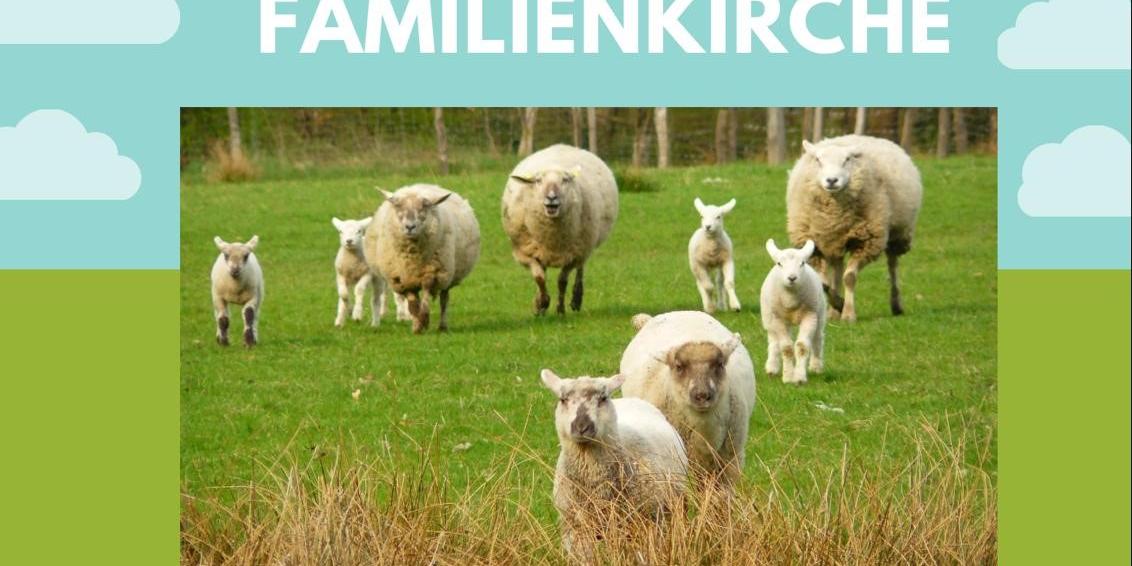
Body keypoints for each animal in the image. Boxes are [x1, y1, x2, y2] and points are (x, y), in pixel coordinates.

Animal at [363, 184, 480, 334]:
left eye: (423, 208)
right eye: (399, 208)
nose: (410, 227)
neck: (412, 258)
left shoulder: (433, 272)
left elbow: (426, 293)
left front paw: (424, 319)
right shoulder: (403, 278)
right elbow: (412, 304)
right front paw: (417, 326)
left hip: (447, 275)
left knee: (444, 299)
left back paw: (442, 327)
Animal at [502, 144, 619, 316]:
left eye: (565, 180)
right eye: (538, 181)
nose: (551, 197)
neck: (552, 237)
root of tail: (564, 146)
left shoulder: (573, 255)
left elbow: (562, 281)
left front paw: (560, 309)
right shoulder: (525, 253)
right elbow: (539, 278)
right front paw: (542, 303)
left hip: (585, 245)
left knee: (580, 269)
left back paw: (576, 299)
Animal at [761, 239, 826, 385]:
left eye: (802, 263)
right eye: (779, 263)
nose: (792, 278)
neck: (791, 301)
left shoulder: (810, 316)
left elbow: (802, 346)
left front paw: (799, 377)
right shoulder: (777, 319)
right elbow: (786, 348)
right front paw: (788, 377)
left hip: (819, 312)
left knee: (818, 338)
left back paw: (816, 366)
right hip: (769, 317)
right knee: (773, 341)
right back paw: (772, 368)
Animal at [786, 134, 923, 323]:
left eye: (847, 160)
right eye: (818, 160)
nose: (832, 180)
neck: (833, 216)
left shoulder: (867, 242)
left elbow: (849, 277)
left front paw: (848, 313)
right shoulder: (815, 245)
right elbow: (823, 283)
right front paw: (838, 304)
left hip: (898, 234)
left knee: (892, 265)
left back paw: (896, 304)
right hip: (834, 242)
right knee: (836, 272)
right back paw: (833, 312)